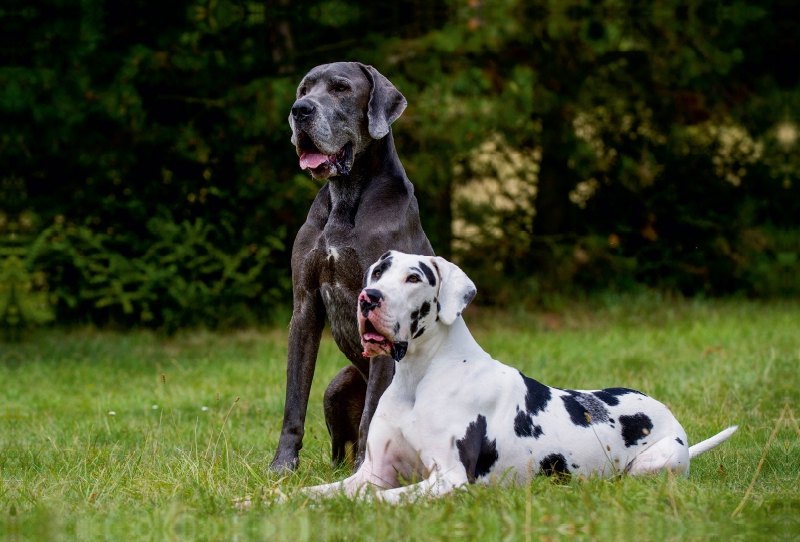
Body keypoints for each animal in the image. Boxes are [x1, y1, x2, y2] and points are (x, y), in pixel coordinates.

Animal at [268, 61, 432, 474]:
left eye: (341, 88)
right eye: (304, 89)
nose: (300, 110)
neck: (344, 196)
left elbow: (373, 411)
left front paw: (365, 471)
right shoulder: (305, 305)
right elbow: (294, 398)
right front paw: (282, 464)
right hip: (338, 384)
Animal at [298, 253, 736, 504]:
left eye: (414, 278)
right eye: (377, 272)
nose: (368, 297)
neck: (417, 379)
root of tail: (670, 416)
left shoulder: (449, 480)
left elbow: (376, 501)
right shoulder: (371, 473)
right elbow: (309, 493)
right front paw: (284, 501)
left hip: (656, 463)